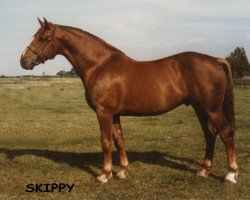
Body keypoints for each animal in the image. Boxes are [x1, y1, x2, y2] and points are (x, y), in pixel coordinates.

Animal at [19, 18, 238, 184]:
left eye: (43, 38)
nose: (23, 60)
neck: (100, 66)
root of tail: (215, 60)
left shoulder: (104, 112)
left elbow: (106, 142)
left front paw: (104, 174)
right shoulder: (114, 114)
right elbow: (119, 140)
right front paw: (122, 171)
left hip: (212, 109)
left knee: (225, 134)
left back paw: (230, 174)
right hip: (200, 108)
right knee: (210, 135)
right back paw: (204, 170)